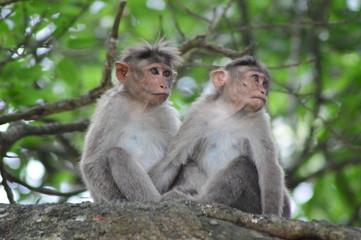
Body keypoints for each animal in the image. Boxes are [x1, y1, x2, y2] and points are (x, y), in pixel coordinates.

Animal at [81, 40, 183, 202]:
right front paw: (117, 199)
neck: (140, 106)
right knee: (116, 154)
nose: (164, 85)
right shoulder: (112, 107)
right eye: (154, 71)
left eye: (166, 73)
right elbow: (92, 162)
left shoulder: (168, 116)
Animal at [148, 55, 292, 218]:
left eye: (265, 84)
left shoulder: (259, 121)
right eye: (255, 78)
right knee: (189, 164)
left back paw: (198, 200)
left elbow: (268, 166)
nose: (262, 91)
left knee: (242, 165)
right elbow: (172, 161)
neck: (229, 112)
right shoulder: (198, 113)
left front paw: (271, 214)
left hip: (251, 206)